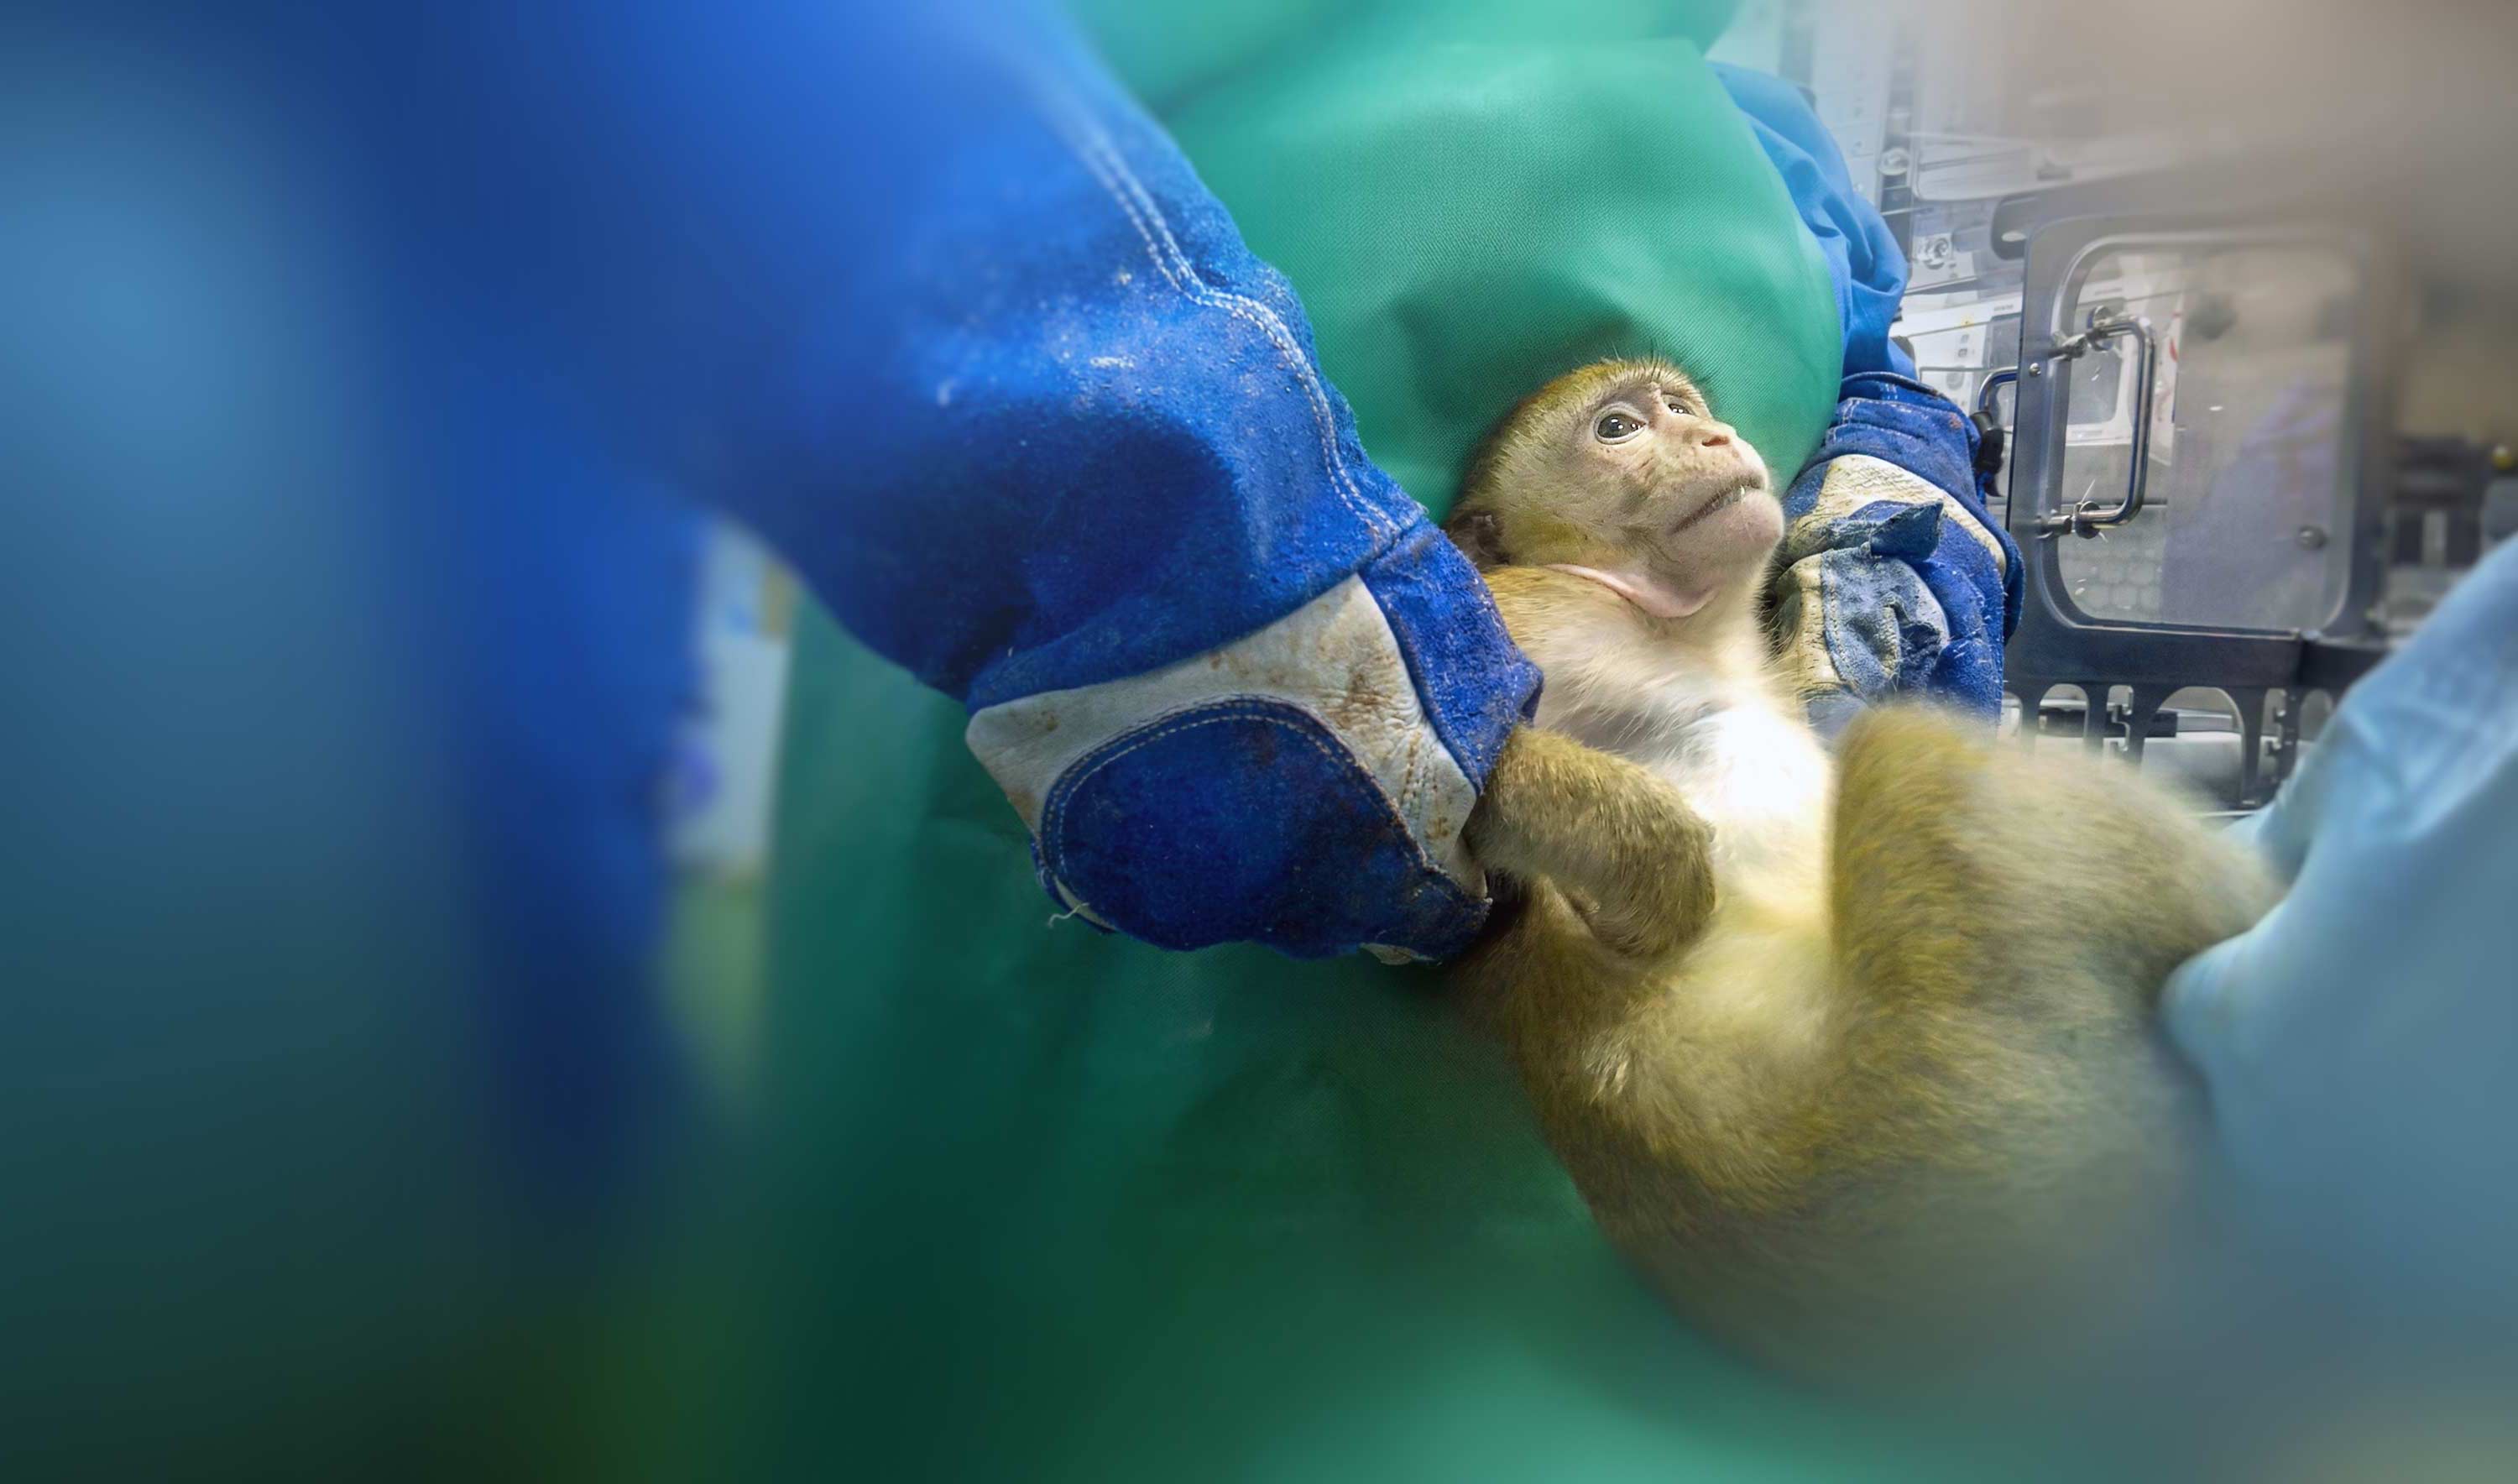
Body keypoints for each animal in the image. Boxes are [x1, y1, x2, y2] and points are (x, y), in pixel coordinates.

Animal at [1443, 358, 2278, 1383]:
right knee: (1907, 756)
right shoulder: (1536, 615)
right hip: (1989, 1095)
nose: (1715, 436)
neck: (1666, 623)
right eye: (1618, 430)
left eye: (1681, 408)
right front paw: (1655, 864)